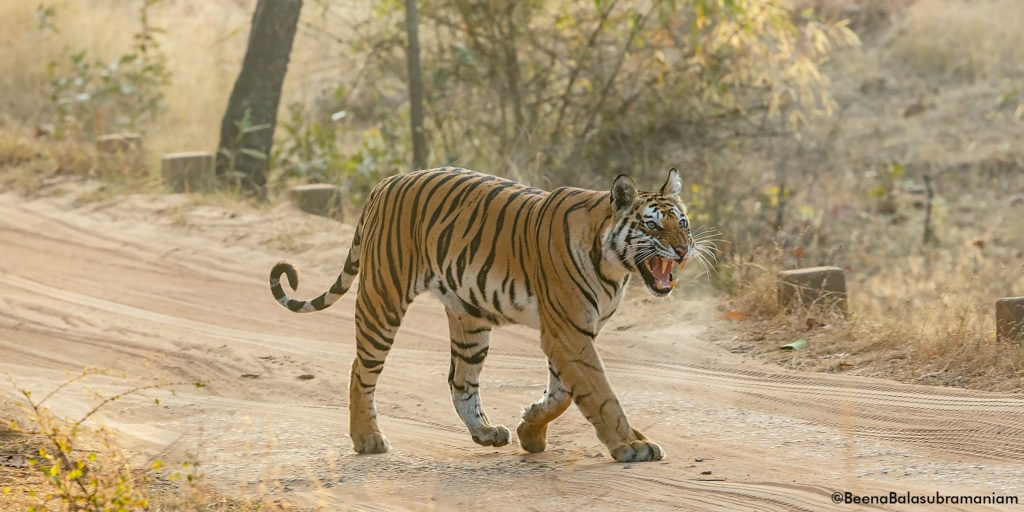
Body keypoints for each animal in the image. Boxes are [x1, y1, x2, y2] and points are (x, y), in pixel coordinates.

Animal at [272, 167, 700, 464]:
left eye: (682, 222)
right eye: (652, 225)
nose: (683, 250)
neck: (616, 267)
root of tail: (386, 182)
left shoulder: (572, 333)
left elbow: (562, 394)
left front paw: (530, 428)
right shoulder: (568, 332)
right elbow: (601, 393)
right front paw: (631, 445)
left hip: (470, 319)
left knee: (460, 380)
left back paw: (486, 433)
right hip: (383, 299)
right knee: (361, 371)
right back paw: (367, 440)